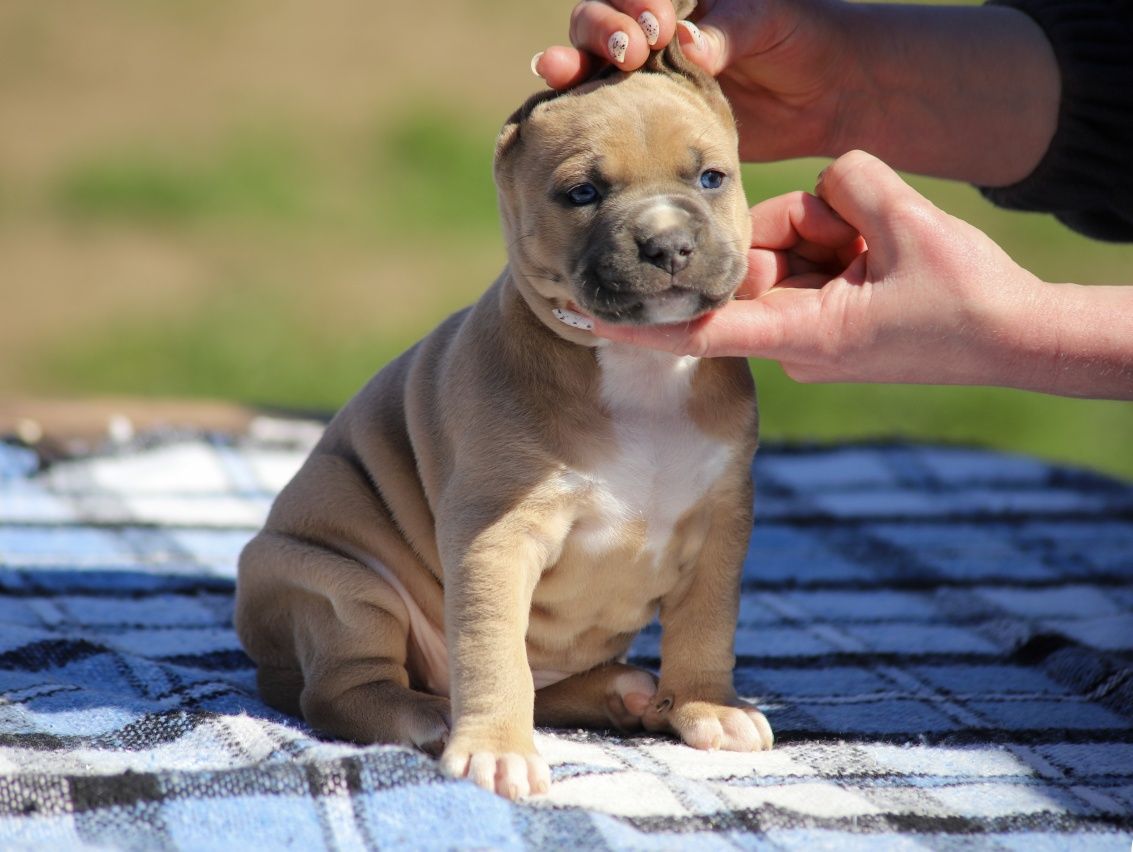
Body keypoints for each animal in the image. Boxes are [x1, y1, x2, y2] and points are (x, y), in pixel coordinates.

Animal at [236, 0, 770, 797]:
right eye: (582, 193)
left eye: (711, 178)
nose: (669, 245)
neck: (638, 366)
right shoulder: (496, 534)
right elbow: (493, 651)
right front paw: (496, 749)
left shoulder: (720, 523)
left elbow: (707, 624)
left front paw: (709, 706)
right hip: (336, 584)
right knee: (337, 686)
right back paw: (422, 715)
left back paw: (622, 692)